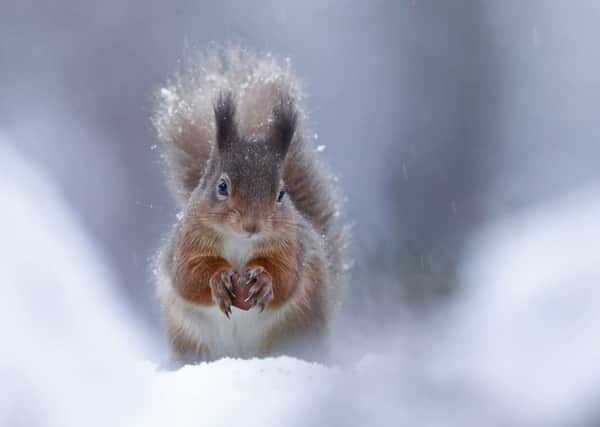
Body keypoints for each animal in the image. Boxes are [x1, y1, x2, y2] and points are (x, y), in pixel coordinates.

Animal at [151, 46, 346, 362]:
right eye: (221, 186)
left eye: (281, 193)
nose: (252, 226)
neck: (239, 243)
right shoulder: (187, 244)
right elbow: (188, 276)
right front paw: (218, 280)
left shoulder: (291, 247)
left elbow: (285, 278)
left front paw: (265, 281)